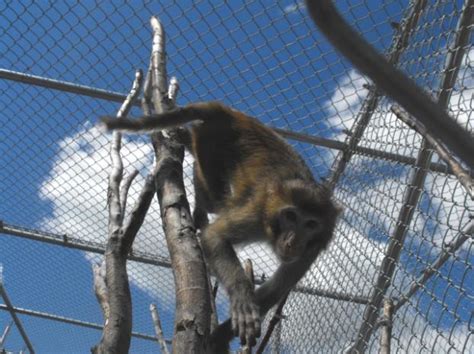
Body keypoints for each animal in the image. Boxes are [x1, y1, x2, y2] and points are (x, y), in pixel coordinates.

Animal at [100, 101, 338, 348]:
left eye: (310, 224)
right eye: (290, 216)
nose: (292, 241)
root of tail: (229, 112)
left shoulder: (309, 252)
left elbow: (274, 290)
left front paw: (220, 337)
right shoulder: (257, 216)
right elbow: (215, 237)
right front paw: (242, 298)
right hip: (212, 142)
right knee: (213, 199)